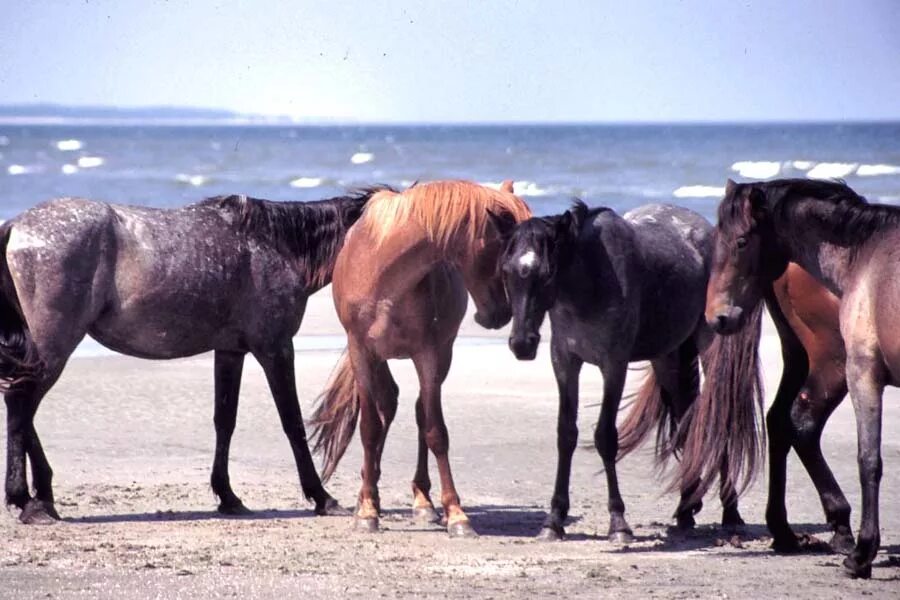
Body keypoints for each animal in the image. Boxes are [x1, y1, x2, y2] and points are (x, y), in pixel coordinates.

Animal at [0, 190, 390, 524]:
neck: (277, 245)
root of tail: (16, 225)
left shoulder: (231, 351)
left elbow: (225, 420)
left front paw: (228, 496)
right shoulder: (275, 348)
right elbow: (292, 423)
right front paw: (322, 497)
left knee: (22, 409)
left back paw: (42, 497)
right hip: (54, 347)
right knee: (21, 404)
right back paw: (27, 500)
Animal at [312, 180, 536, 536]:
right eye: (504, 258)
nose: (501, 315)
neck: (385, 273)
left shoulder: (428, 355)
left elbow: (435, 431)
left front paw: (456, 514)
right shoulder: (362, 351)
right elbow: (369, 428)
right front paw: (367, 509)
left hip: (440, 356)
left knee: (417, 411)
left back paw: (423, 501)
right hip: (379, 359)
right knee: (386, 405)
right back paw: (368, 492)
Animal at [502, 203, 764, 544]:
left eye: (547, 274)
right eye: (506, 271)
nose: (521, 343)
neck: (589, 278)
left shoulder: (614, 366)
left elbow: (605, 437)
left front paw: (619, 523)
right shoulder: (565, 363)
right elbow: (566, 434)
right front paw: (554, 520)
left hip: (710, 349)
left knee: (717, 418)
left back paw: (730, 514)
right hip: (667, 358)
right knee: (687, 422)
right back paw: (686, 509)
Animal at [708, 177, 896, 576]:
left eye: (741, 241)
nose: (718, 314)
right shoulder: (863, 369)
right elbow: (869, 459)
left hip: (800, 357)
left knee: (780, 420)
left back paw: (783, 529)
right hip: (830, 363)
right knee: (803, 424)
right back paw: (839, 527)